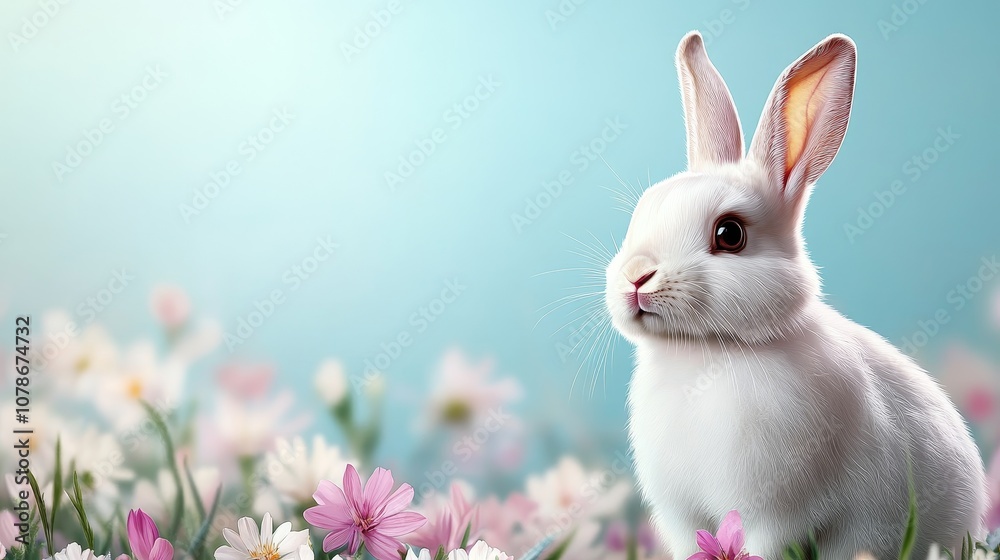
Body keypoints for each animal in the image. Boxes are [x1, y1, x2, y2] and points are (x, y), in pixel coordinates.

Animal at [606, 31, 988, 559]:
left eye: (729, 234)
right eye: (643, 211)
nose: (636, 278)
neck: (708, 352)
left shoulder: (776, 513)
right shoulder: (681, 517)